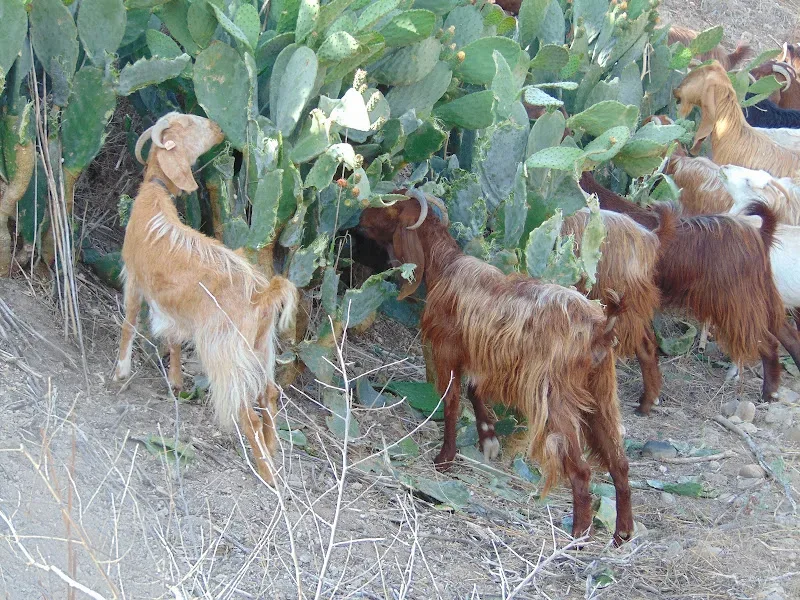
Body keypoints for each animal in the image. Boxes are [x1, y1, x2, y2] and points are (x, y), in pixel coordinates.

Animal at [113, 112, 298, 485]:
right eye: (188, 125)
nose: (217, 127)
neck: (155, 194)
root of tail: (262, 295)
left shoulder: (134, 280)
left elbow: (128, 323)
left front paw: (120, 372)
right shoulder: (172, 308)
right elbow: (171, 339)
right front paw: (175, 382)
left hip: (224, 352)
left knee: (247, 412)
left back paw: (266, 473)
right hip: (260, 348)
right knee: (269, 395)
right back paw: (272, 452)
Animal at [359, 192, 634, 545]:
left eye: (392, 209)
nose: (361, 218)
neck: (446, 266)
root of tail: (602, 326)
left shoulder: (448, 352)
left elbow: (451, 402)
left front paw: (445, 459)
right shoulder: (487, 361)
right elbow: (475, 391)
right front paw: (488, 439)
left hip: (556, 397)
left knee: (581, 468)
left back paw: (578, 533)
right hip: (601, 393)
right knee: (619, 463)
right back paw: (622, 533)